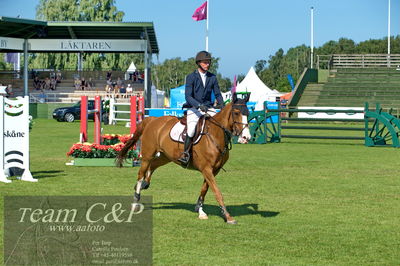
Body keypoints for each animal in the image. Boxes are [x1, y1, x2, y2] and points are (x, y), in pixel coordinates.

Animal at [115, 93, 252, 224]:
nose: (246, 137)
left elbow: (204, 189)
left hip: (165, 157)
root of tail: (152, 120)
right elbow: (217, 192)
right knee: (141, 173)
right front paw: (228, 217)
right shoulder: (206, 169)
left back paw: (145, 184)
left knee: (153, 166)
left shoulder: (214, 170)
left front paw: (200, 210)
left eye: (248, 113)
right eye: (236, 113)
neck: (215, 134)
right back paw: (136, 200)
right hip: (147, 156)